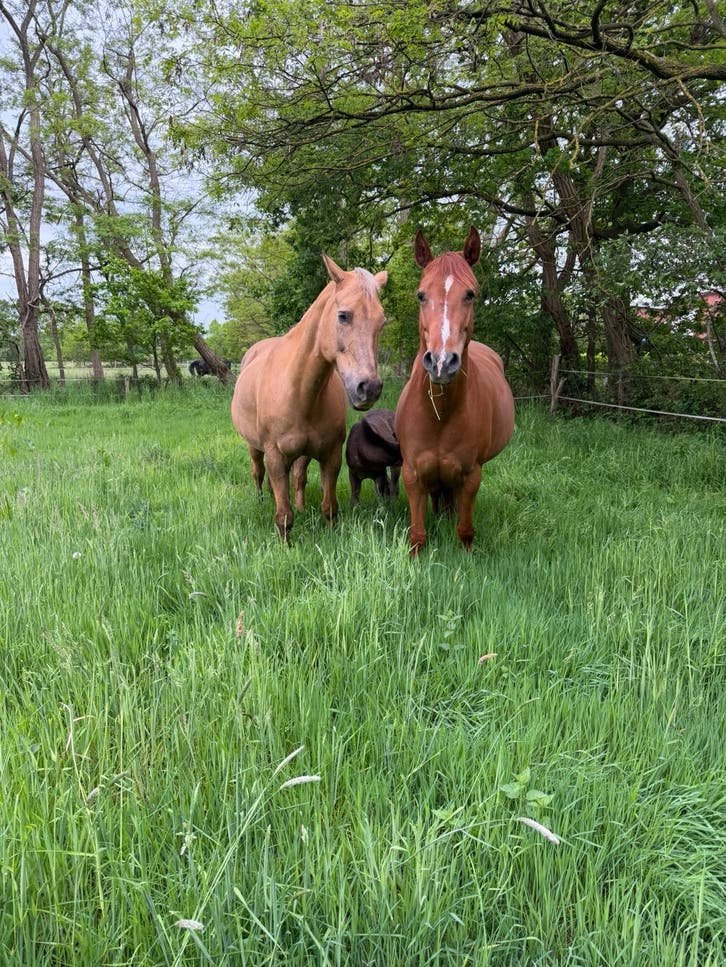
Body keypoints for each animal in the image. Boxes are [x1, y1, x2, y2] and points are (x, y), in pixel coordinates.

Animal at [231, 253, 388, 540]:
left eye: (381, 322)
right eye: (343, 315)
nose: (369, 388)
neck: (298, 391)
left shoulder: (331, 456)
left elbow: (329, 507)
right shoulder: (275, 456)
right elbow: (283, 515)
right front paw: (285, 544)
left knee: (297, 478)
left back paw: (300, 506)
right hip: (254, 447)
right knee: (258, 472)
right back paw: (260, 500)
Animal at [394, 227, 515, 554]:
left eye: (470, 294)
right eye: (421, 295)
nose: (441, 362)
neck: (440, 415)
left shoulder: (471, 474)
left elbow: (465, 528)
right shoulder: (412, 473)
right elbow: (417, 534)